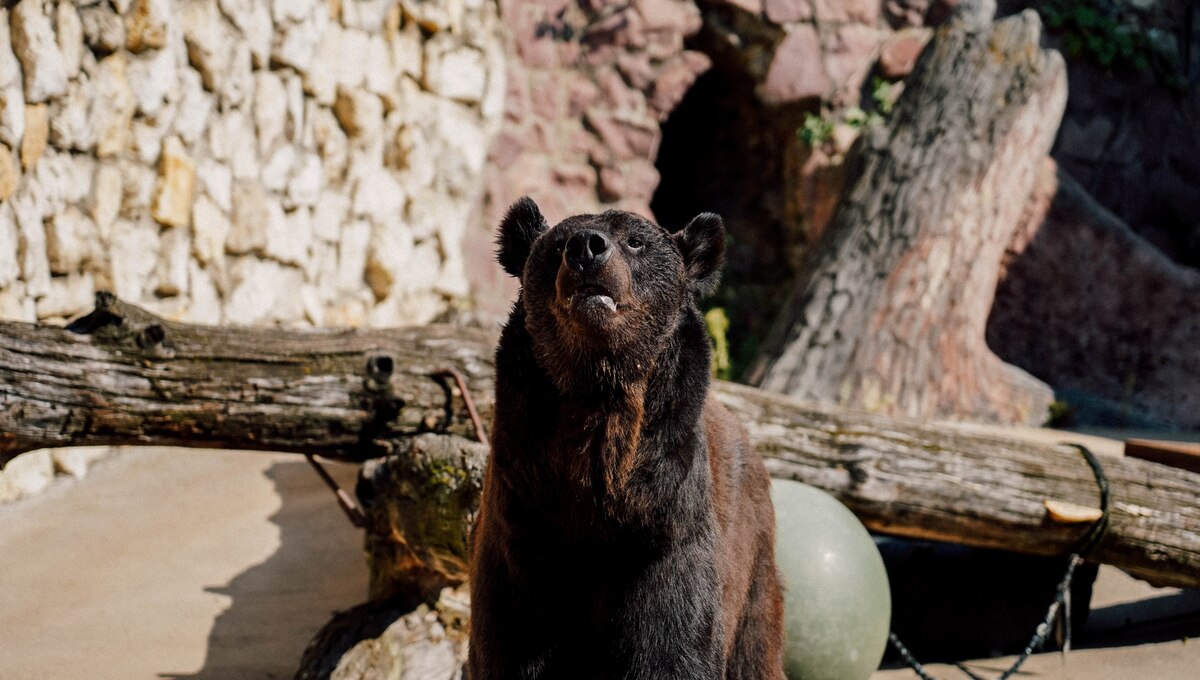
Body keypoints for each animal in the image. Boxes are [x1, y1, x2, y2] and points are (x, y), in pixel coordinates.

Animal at [463, 197, 782, 680]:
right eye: (557, 243)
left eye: (636, 240)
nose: (586, 248)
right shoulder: (526, 535)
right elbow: (512, 646)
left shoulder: (665, 539)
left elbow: (672, 649)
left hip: (752, 562)